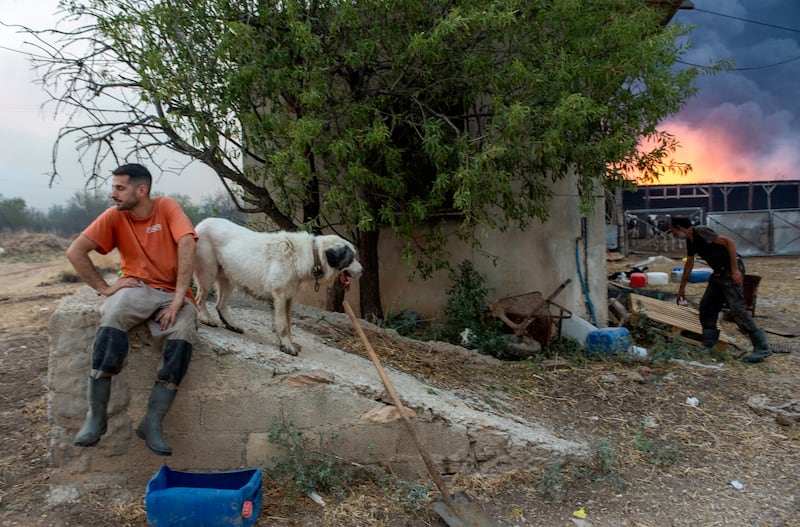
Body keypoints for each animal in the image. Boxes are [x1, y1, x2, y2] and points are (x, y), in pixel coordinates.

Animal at [195, 217, 364, 356]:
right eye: (352, 257)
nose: (362, 271)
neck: (312, 254)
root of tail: (203, 222)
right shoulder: (280, 296)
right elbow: (283, 324)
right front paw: (287, 346)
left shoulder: (288, 298)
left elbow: (288, 324)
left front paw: (289, 343)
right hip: (208, 273)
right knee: (199, 299)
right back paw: (206, 318)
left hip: (227, 277)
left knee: (220, 305)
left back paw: (231, 324)